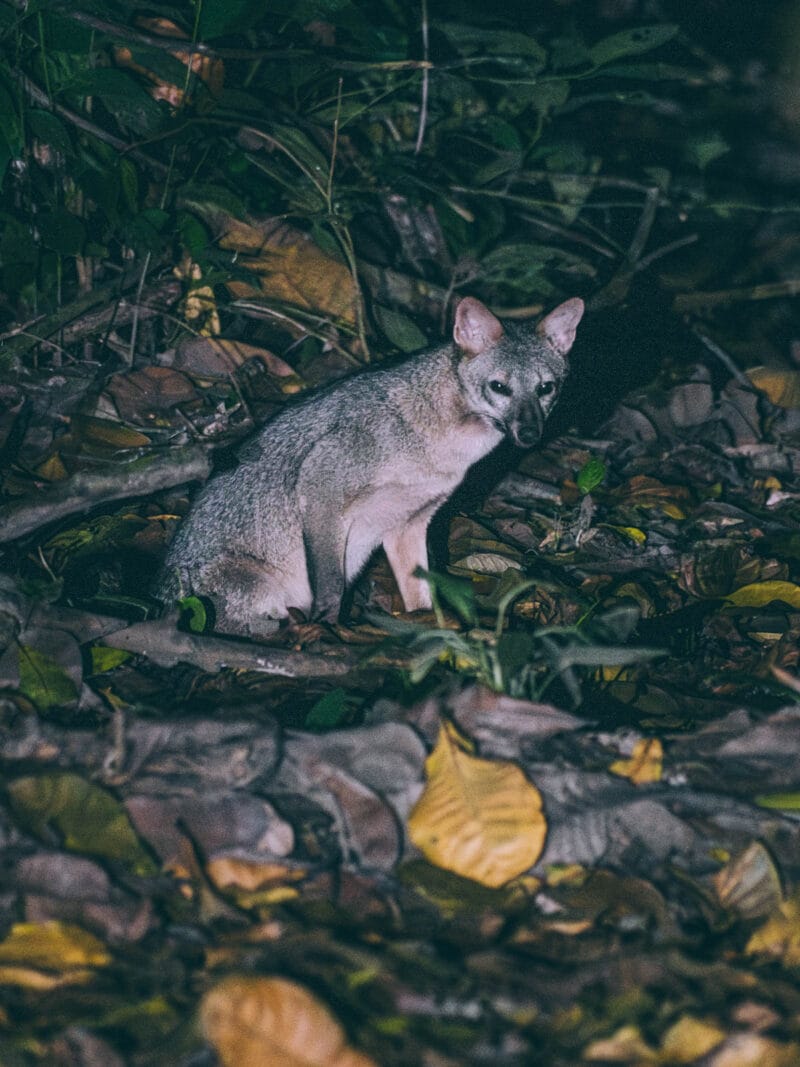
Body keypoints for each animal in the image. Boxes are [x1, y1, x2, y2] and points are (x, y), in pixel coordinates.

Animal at [158, 295, 584, 636]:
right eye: (499, 387)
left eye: (545, 389)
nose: (529, 434)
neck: (441, 441)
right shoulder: (321, 490)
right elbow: (330, 586)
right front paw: (329, 630)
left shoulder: (409, 525)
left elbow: (422, 598)